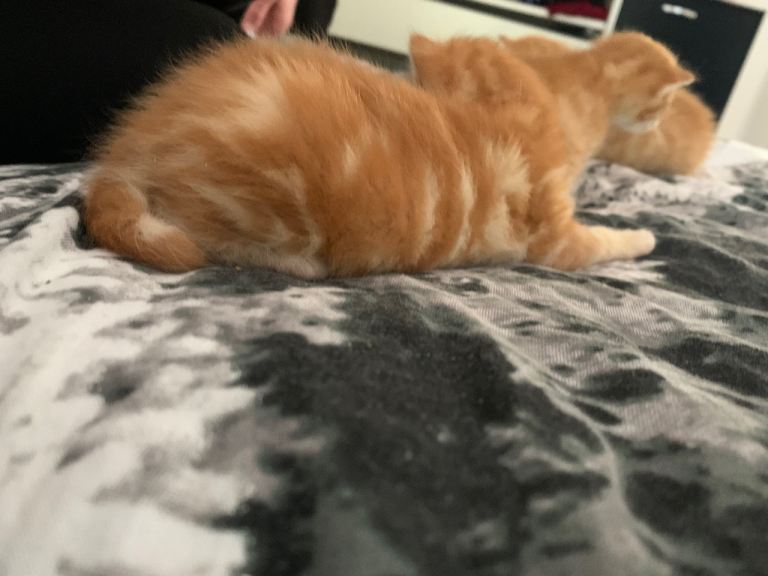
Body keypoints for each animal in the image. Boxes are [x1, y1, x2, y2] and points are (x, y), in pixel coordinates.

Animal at [84, 36, 655, 277]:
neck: (510, 112)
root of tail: (133, 144)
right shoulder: (554, 237)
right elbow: (602, 242)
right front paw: (644, 237)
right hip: (263, 203)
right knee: (216, 240)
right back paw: (299, 264)